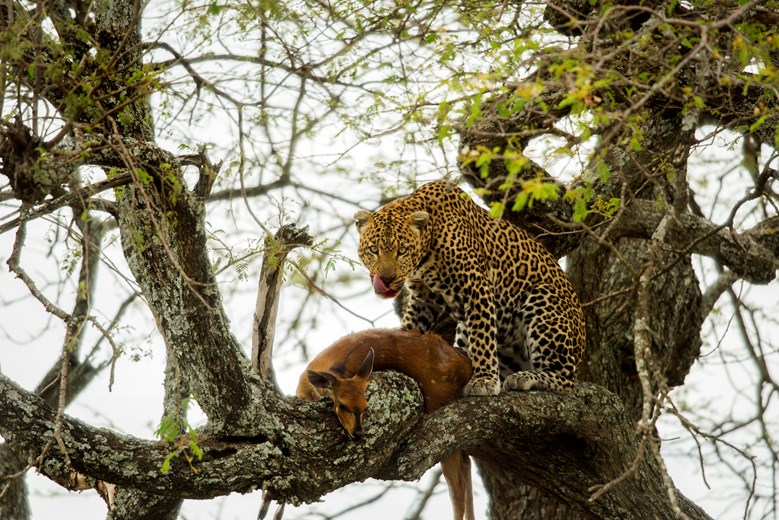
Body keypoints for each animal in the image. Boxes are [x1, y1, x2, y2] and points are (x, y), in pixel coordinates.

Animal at [354, 180, 585, 397]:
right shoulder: (423, 298)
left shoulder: (476, 287)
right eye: (373, 250)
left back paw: (525, 377)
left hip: (543, 297)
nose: (386, 279)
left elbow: (482, 338)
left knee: (565, 379)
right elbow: (410, 327)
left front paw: (484, 380)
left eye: (402, 251)